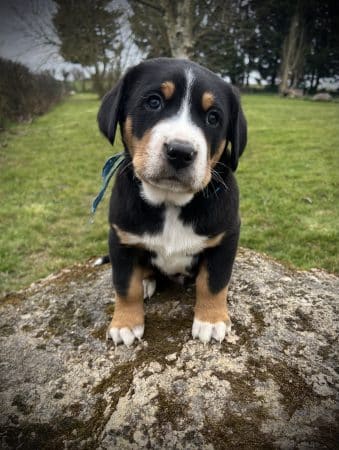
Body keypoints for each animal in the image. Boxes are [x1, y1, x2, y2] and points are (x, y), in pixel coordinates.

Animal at [97, 56, 247, 344]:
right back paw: (146, 280)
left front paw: (211, 320)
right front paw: (125, 323)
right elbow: (125, 285)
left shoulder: (226, 237)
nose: (180, 151)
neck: (169, 202)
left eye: (213, 117)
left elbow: (214, 282)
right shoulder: (120, 238)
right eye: (154, 102)